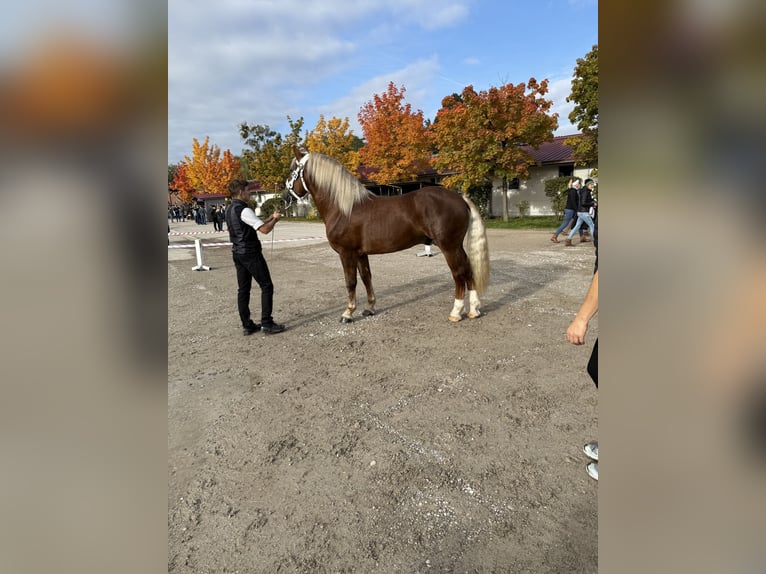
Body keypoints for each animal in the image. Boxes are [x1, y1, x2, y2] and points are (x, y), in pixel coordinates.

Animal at [285, 147, 489, 323]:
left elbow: (351, 282)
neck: (344, 208)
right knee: (468, 270)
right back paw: (474, 310)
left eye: (293, 170)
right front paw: (369, 308)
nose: (285, 196)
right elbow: (366, 278)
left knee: (458, 273)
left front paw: (348, 313)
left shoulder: (346, 253)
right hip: (456, 247)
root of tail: (459, 197)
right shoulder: (360, 254)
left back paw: (456, 312)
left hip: (449, 247)